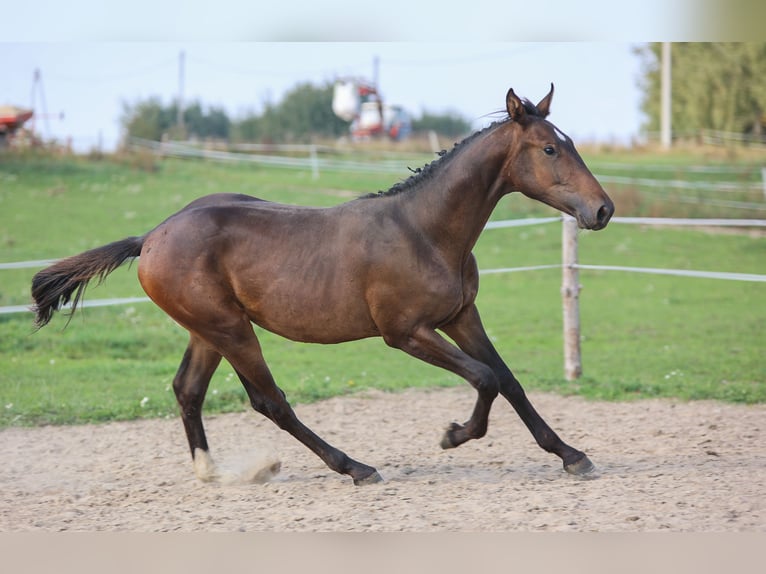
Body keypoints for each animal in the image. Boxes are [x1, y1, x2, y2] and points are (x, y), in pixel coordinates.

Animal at [31, 85, 616, 488]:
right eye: (549, 150)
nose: (603, 210)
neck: (424, 230)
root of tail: (151, 236)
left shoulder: (460, 316)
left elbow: (509, 380)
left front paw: (572, 456)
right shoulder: (406, 333)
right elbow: (484, 378)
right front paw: (453, 435)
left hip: (208, 331)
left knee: (187, 390)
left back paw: (216, 474)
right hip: (231, 329)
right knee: (270, 401)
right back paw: (355, 467)